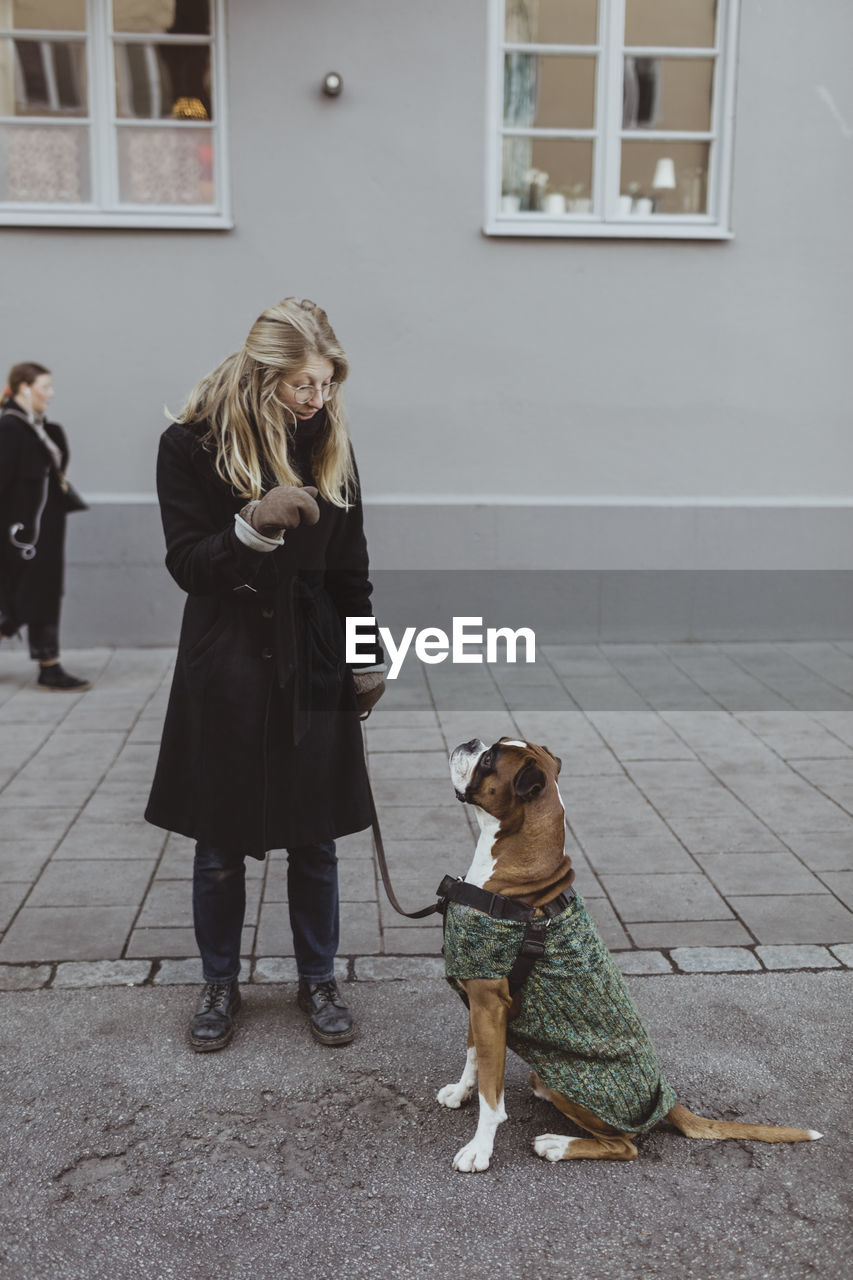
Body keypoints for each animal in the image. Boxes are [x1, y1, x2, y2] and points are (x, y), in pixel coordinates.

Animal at [435, 742, 819, 1172]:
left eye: (489, 760)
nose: (470, 743)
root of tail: (666, 1098)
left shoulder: (489, 1003)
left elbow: (492, 1094)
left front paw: (479, 1149)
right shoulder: (479, 998)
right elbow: (475, 1058)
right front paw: (460, 1092)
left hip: (581, 1091)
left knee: (624, 1145)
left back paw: (558, 1144)